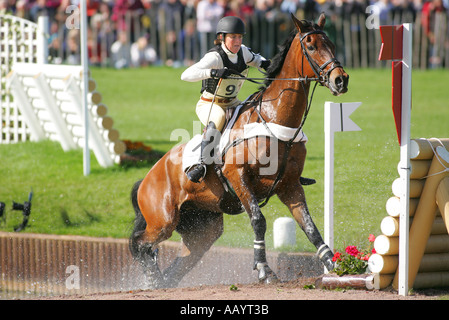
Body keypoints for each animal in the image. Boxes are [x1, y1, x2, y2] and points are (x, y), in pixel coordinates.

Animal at [128, 12, 348, 288]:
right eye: (311, 47)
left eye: (332, 44)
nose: (341, 80)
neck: (274, 119)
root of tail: (146, 178)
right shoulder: (238, 176)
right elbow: (258, 220)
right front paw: (264, 270)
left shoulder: (289, 185)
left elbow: (309, 226)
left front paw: (334, 264)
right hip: (163, 220)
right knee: (140, 244)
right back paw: (151, 278)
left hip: (203, 228)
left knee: (178, 263)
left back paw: (160, 281)